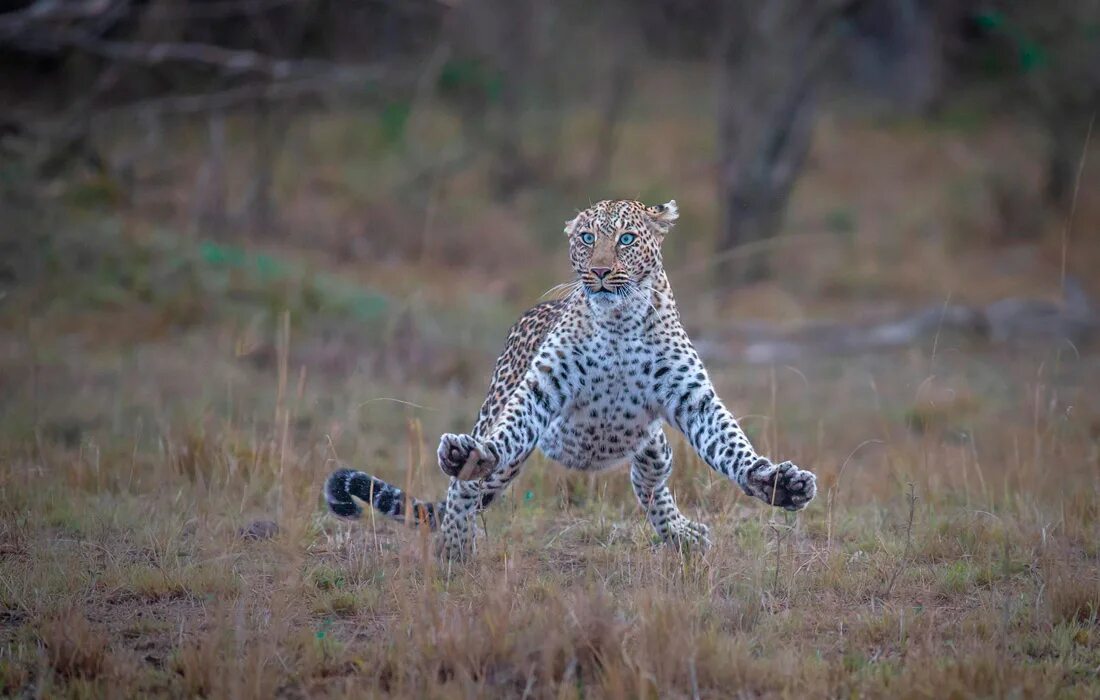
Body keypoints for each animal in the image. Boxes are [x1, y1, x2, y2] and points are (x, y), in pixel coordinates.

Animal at [321, 199, 814, 561]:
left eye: (627, 239)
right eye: (587, 238)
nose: (599, 271)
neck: (618, 322)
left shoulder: (694, 400)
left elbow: (731, 444)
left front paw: (778, 483)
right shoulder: (540, 390)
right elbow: (503, 436)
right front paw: (472, 461)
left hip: (653, 446)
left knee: (649, 485)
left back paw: (682, 536)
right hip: (503, 431)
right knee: (466, 488)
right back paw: (455, 543)